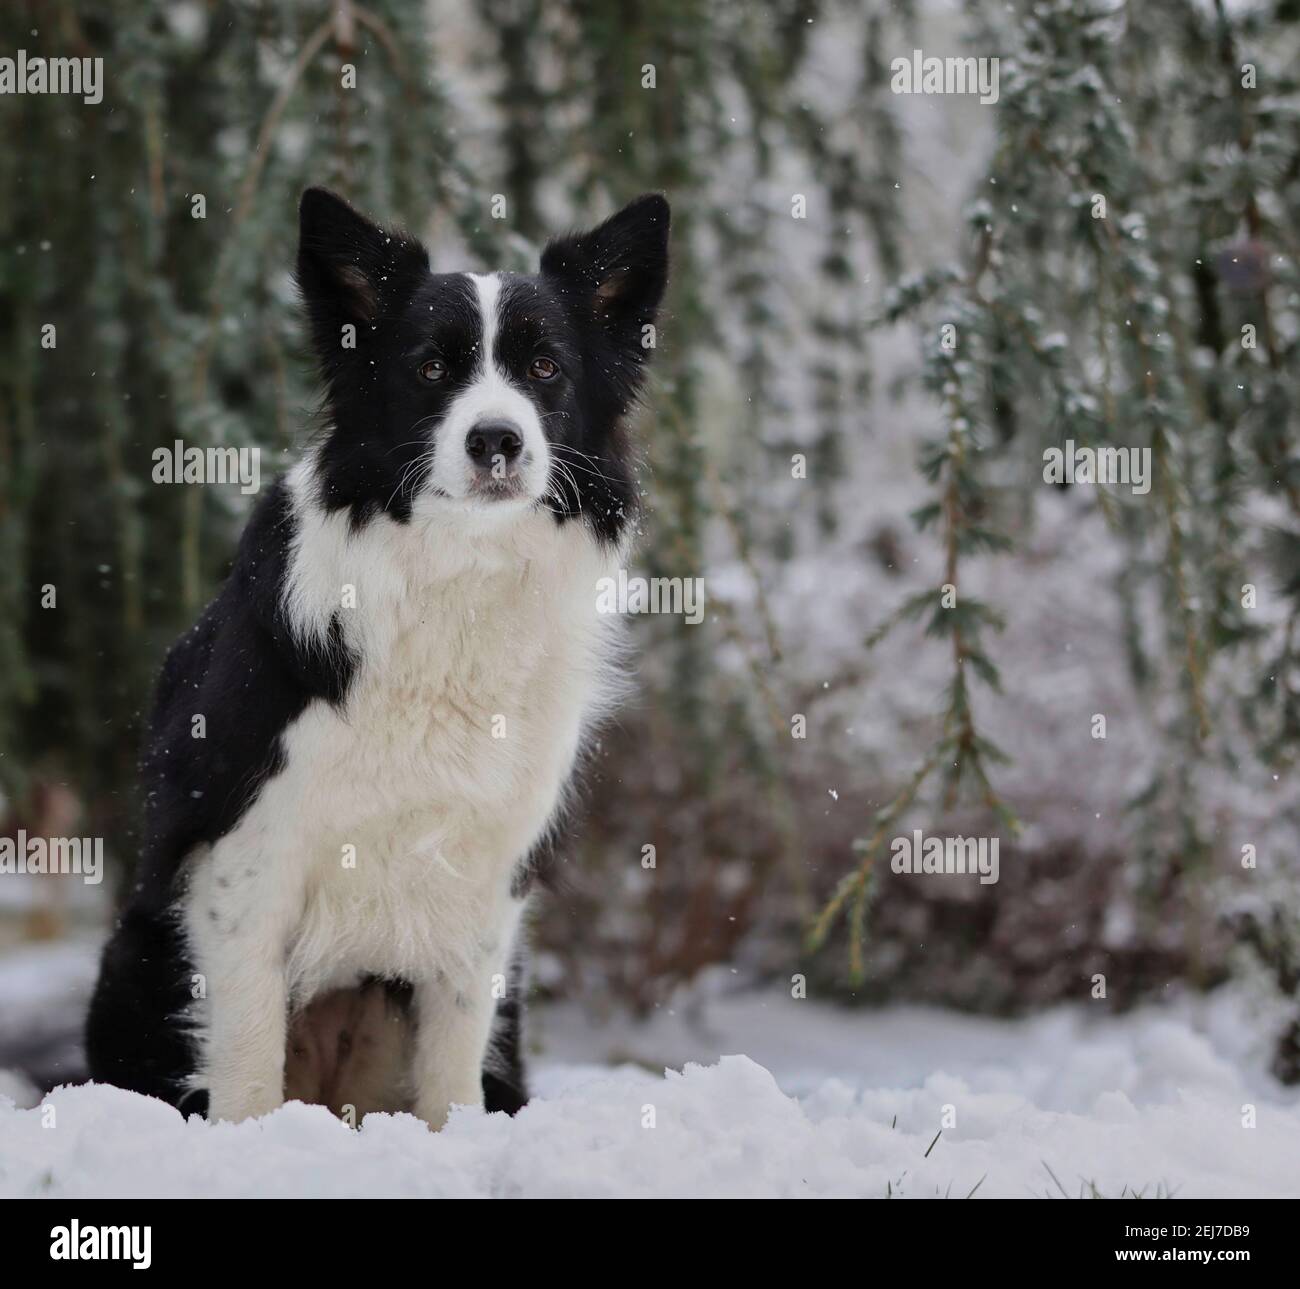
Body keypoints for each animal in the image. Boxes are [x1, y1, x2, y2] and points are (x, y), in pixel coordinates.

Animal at [83, 185, 670, 1122]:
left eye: (546, 369)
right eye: (430, 370)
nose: (496, 440)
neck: (457, 577)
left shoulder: (487, 884)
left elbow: (451, 1072)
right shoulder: (241, 864)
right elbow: (247, 1063)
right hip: (138, 955)